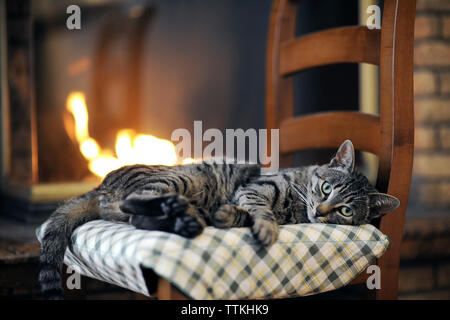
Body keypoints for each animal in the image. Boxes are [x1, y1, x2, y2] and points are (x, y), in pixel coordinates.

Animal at [38, 140, 398, 300]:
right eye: (326, 188)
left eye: (346, 211)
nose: (321, 212)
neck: (296, 208)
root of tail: (100, 185)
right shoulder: (255, 188)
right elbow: (261, 211)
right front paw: (266, 228)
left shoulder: (243, 198)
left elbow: (241, 214)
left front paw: (226, 216)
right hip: (178, 180)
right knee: (135, 206)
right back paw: (180, 213)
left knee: (138, 218)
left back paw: (188, 220)